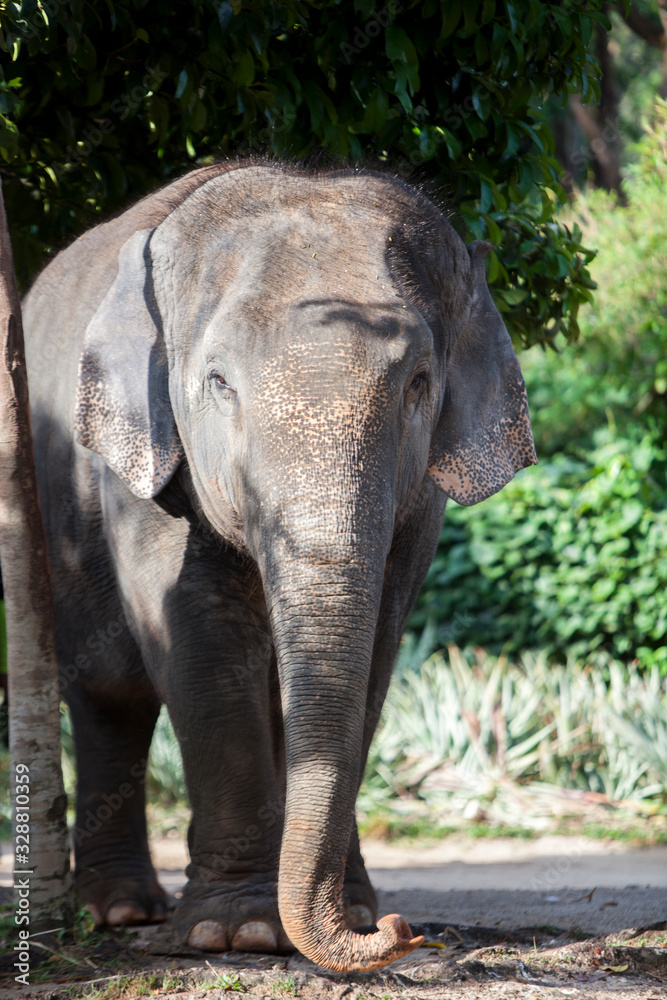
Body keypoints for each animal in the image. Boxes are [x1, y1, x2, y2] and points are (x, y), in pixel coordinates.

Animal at [22, 161, 536, 972]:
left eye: (420, 382)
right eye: (218, 382)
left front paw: (346, 913)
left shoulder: (420, 499)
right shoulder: (147, 463)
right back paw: (124, 913)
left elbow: (379, 644)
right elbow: (198, 634)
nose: (402, 932)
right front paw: (235, 934)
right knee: (111, 693)